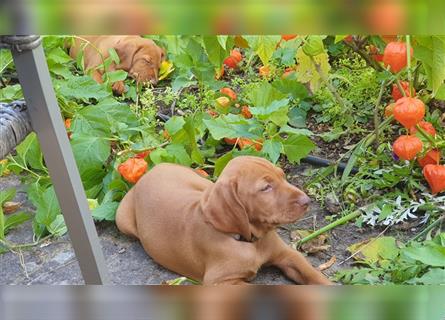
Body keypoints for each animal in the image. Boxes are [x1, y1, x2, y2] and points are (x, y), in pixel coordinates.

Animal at [116, 156, 332, 284]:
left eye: (283, 175)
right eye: (265, 188)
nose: (306, 201)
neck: (247, 240)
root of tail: (150, 171)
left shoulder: (288, 255)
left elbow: (314, 274)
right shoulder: (221, 282)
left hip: (203, 185)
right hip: (121, 219)